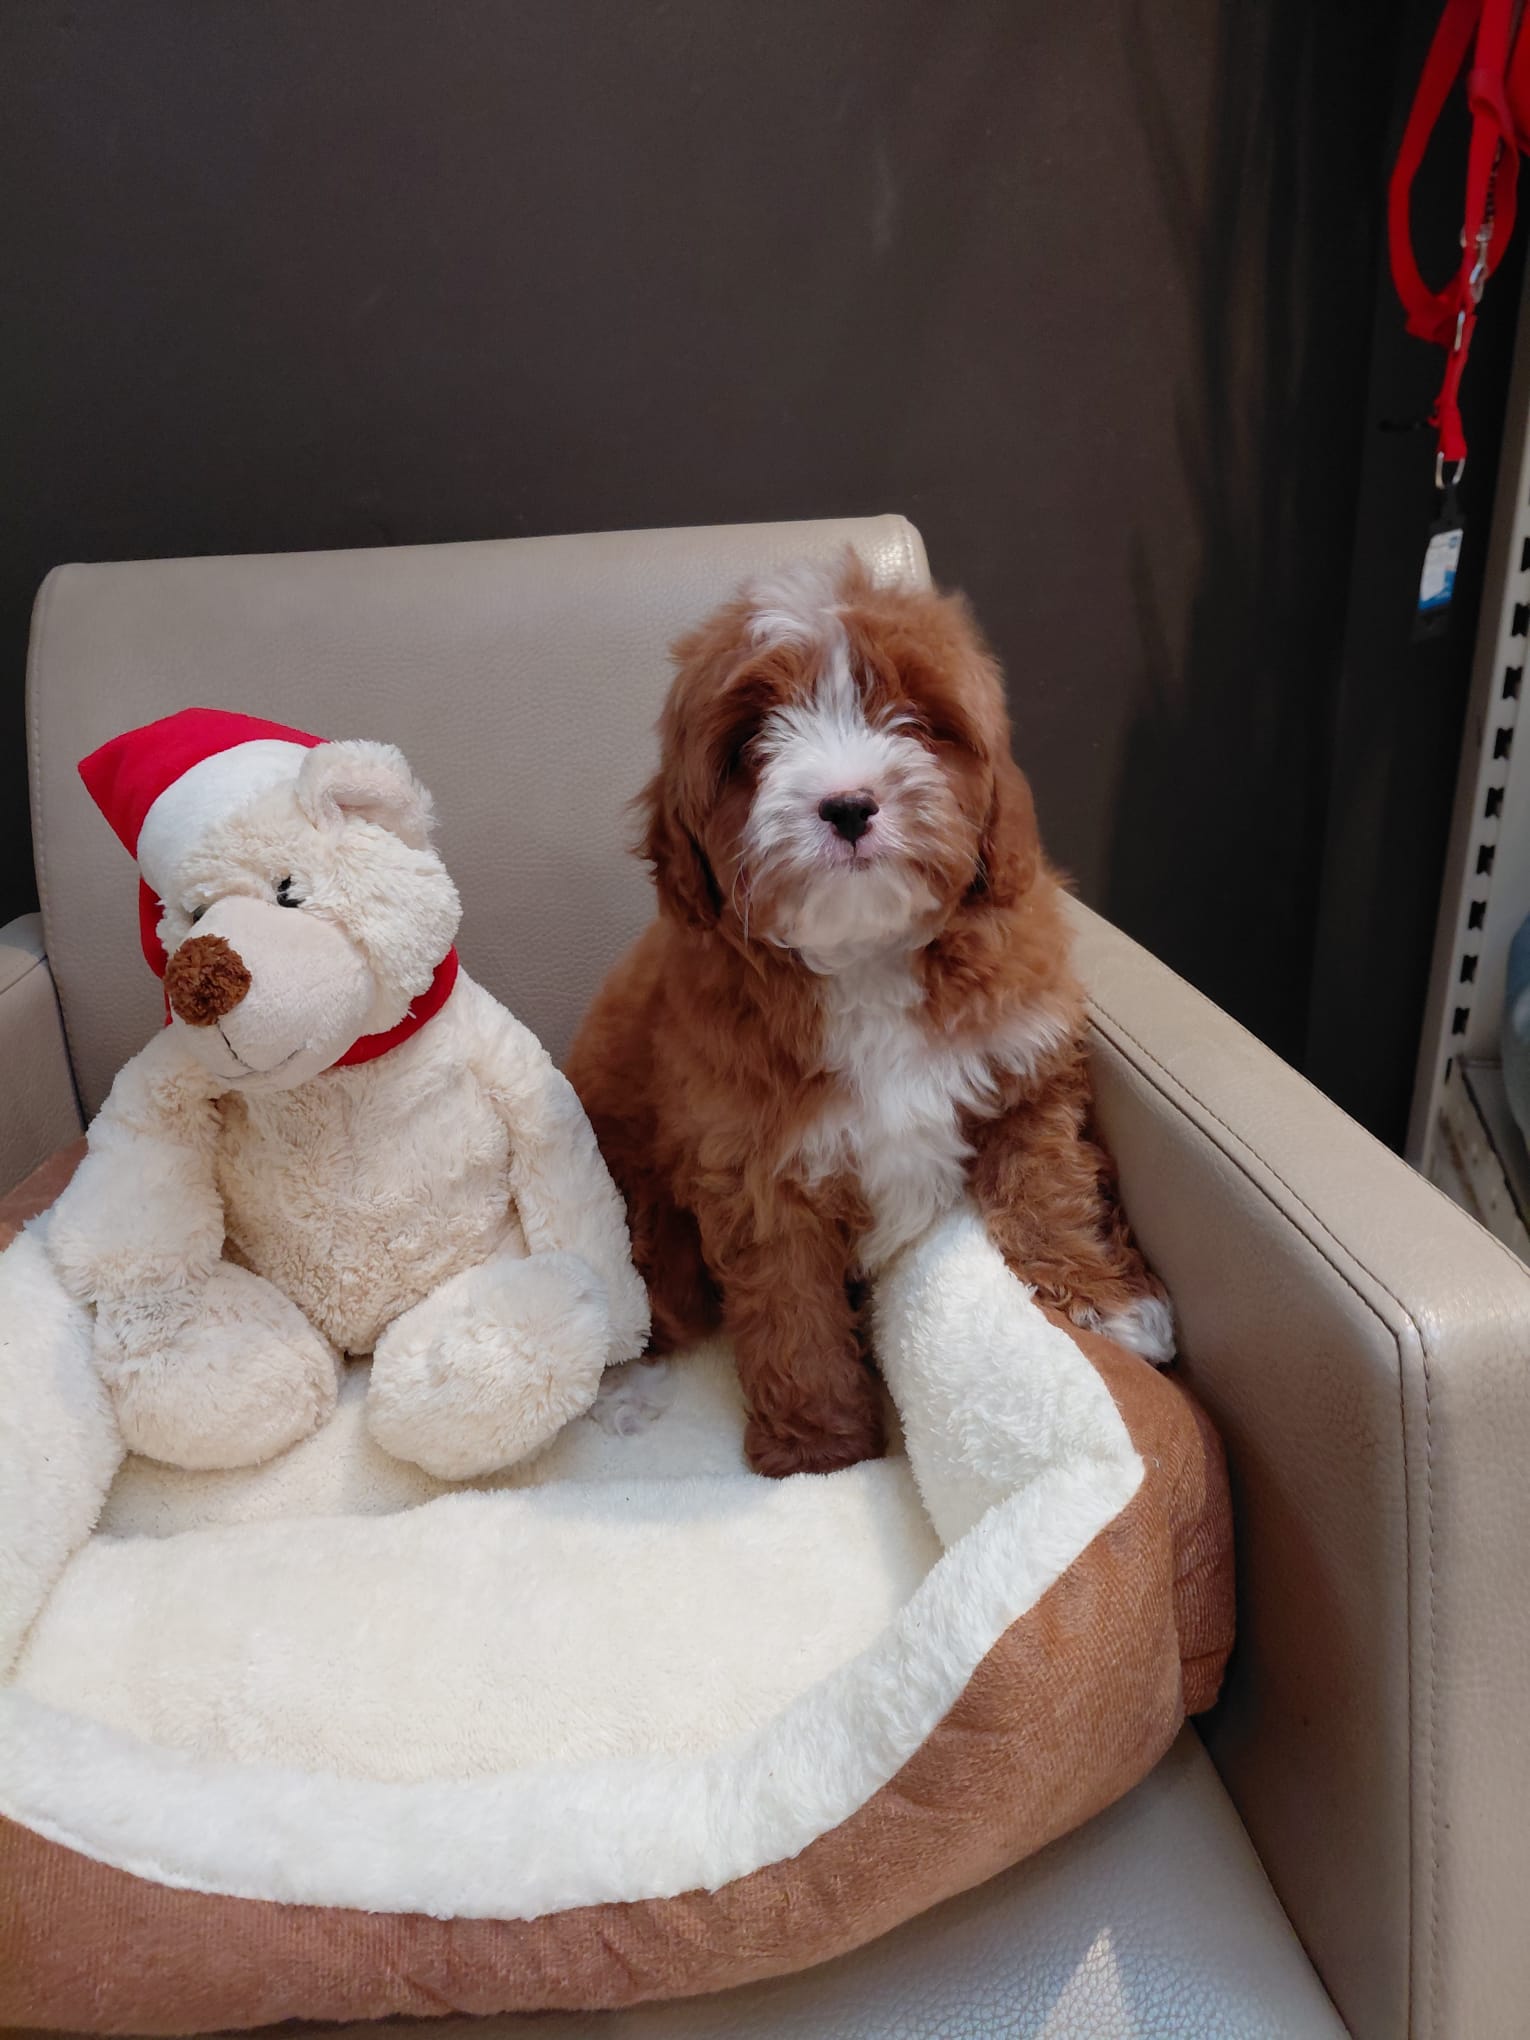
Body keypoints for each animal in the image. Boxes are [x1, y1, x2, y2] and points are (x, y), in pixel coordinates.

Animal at [565, 553, 1172, 1477]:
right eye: (751, 743)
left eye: (915, 721)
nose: (848, 804)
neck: (867, 955)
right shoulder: (758, 1168)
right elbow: (792, 1315)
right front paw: (820, 1453)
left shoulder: (1025, 1066)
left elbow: (1049, 1186)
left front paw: (1102, 1303)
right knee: (648, 1316)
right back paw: (627, 1393)